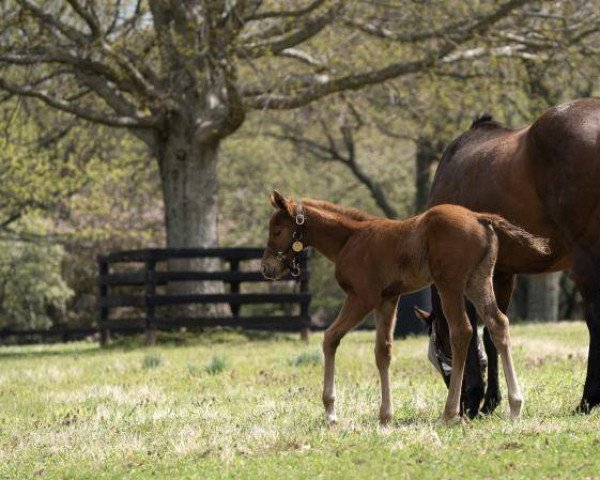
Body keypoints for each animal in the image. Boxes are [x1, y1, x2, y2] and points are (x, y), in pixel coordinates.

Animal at [260, 191, 552, 424]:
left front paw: (331, 412)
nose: (266, 268)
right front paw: (385, 416)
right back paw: (515, 406)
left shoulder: (362, 297)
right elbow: (383, 351)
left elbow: (330, 338)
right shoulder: (387, 299)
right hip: (477, 280)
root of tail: (480, 217)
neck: (350, 238)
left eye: (276, 231)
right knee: (497, 323)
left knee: (462, 331)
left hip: (449, 283)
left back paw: (449, 413)